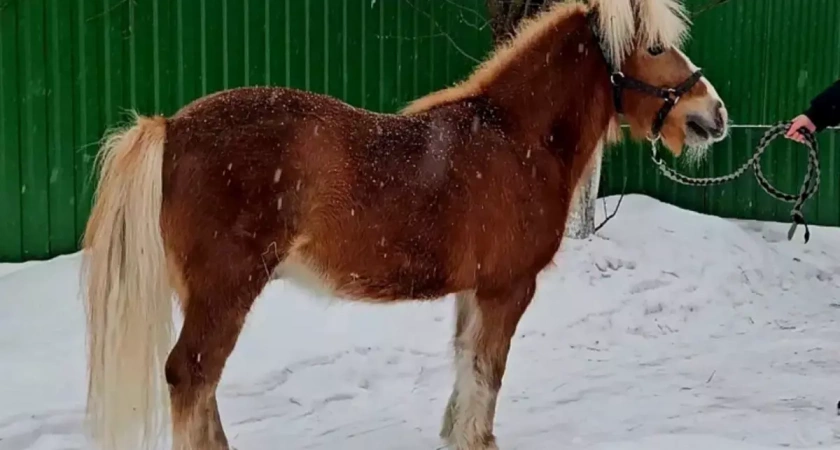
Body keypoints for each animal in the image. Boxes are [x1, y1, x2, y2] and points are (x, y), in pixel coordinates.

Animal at [80, 0, 728, 450]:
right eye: (653, 47)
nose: (715, 115)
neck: (514, 138)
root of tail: (171, 129)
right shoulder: (507, 289)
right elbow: (488, 372)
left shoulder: (474, 292)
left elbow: (466, 366)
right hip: (225, 291)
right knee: (190, 377)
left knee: (201, 384)